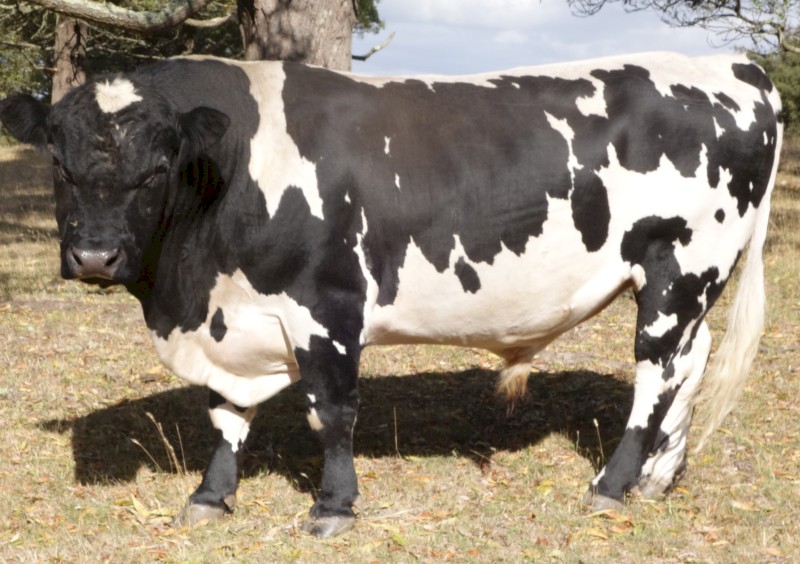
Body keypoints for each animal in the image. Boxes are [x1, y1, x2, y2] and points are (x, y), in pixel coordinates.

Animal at [0, 52, 782, 538]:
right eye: (58, 161)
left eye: (159, 166)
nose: (95, 256)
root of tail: (732, 66)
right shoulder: (231, 319)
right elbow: (224, 415)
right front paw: (211, 497)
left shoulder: (326, 306)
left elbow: (331, 413)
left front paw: (333, 508)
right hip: (684, 285)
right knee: (688, 366)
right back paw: (657, 477)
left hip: (679, 265)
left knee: (656, 375)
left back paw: (612, 485)